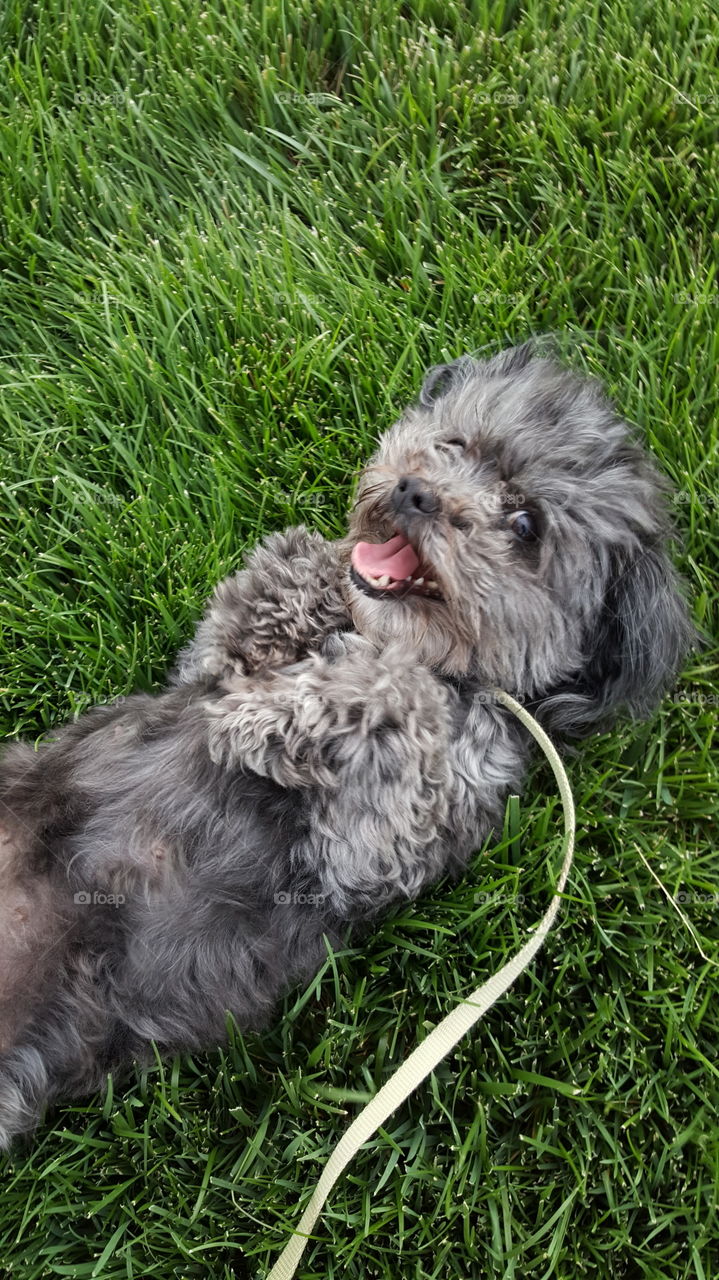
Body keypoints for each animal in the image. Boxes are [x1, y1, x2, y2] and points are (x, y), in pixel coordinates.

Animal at [0, 345, 695, 1146]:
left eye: (525, 524)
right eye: (453, 442)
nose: (416, 491)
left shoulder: (373, 842)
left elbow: (401, 697)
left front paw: (279, 713)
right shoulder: (206, 667)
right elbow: (253, 603)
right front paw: (311, 577)